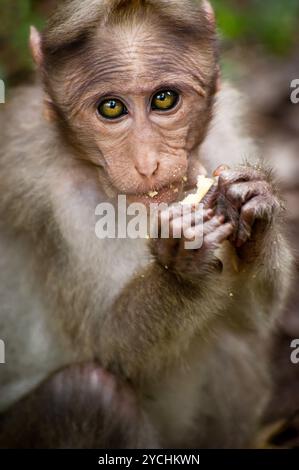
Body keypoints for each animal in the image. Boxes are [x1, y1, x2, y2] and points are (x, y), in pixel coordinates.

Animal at [0, 0, 294, 448]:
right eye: (111, 107)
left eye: (164, 99)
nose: (147, 163)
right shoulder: (56, 199)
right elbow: (108, 349)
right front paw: (181, 265)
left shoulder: (222, 139)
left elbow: (250, 321)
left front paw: (256, 210)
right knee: (85, 394)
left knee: (230, 340)